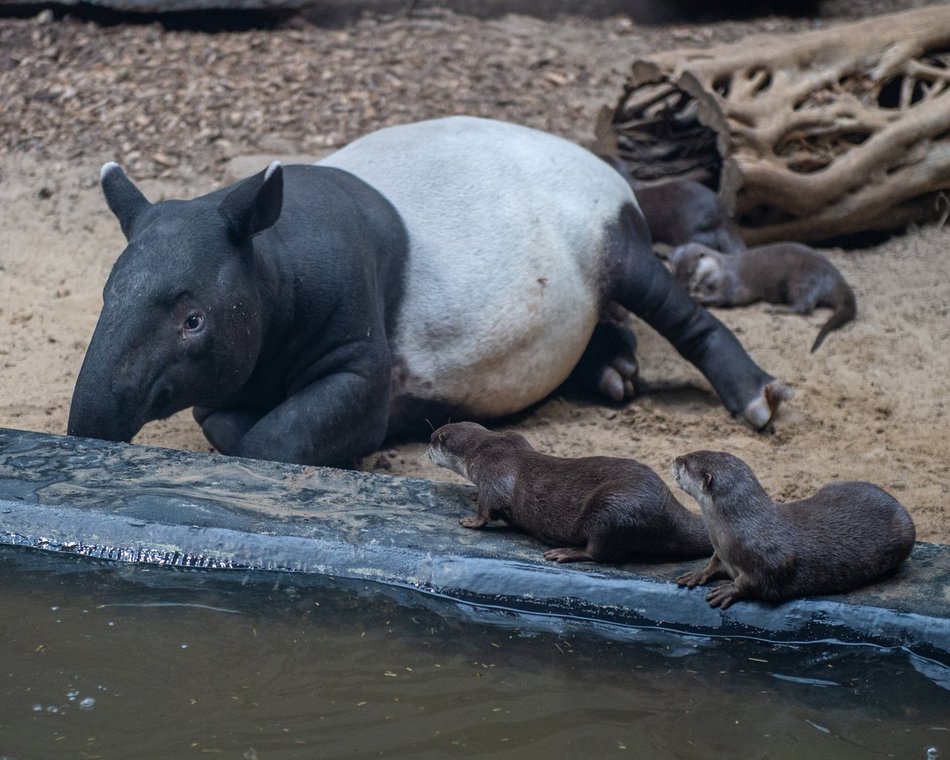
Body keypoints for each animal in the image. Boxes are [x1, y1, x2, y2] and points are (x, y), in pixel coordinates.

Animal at [428, 422, 712, 564]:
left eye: (431, 441)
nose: (426, 450)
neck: (484, 448)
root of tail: (669, 508)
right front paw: (473, 495)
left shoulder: (494, 470)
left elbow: (490, 504)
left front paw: (471, 520)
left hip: (613, 508)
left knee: (600, 553)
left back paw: (565, 553)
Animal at [668, 242, 864, 352]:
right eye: (675, 272)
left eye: (689, 272)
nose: (683, 287)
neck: (719, 270)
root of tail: (835, 276)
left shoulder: (732, 282)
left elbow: (726, 297)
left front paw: (699, 298)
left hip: (801, 279)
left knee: (805, 306)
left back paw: (776, 309)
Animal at [672, 452, 920, 604]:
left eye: (687, 462)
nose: (675, 459)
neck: (732, 532)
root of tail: (897, 502)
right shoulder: (722, 552)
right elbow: (714, 563)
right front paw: (698, 574)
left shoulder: (772, 558)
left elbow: (758, 582)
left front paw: (730, 590)